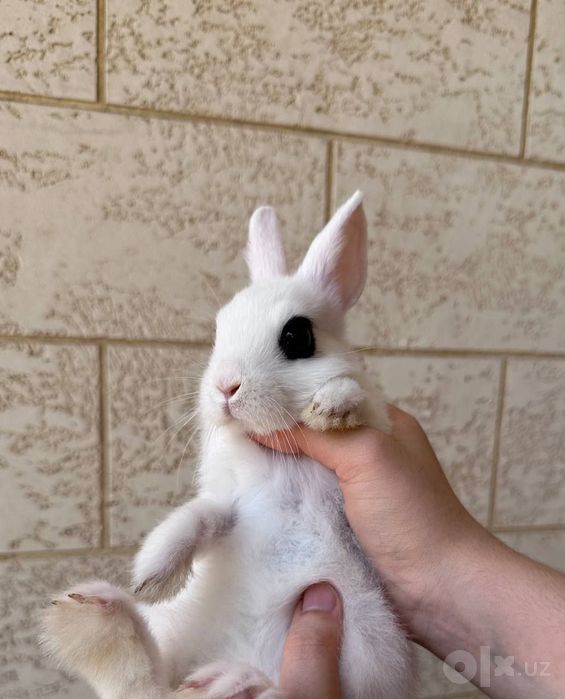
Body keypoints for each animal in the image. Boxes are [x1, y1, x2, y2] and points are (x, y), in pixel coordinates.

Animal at [42, 191, 414, 699]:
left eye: (298, 336)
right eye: (219, 332)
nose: (226, 387)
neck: (276, 453)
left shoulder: (373, 432)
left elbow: (357, 398)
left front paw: (330, 406)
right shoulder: (232, 504)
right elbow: (197, 519)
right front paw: (150, 577)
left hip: (367, 639)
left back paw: (235, 680)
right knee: (149, 682)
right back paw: (95, 615)